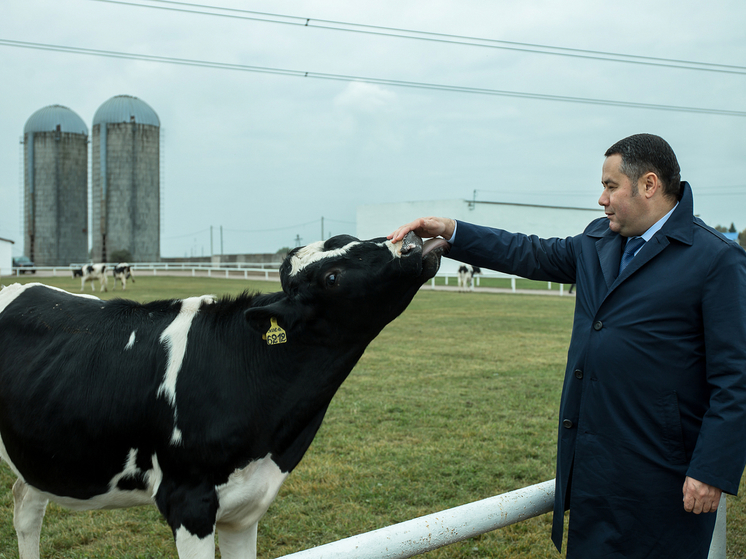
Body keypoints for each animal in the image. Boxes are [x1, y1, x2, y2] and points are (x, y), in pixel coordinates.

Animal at [0, 232, 448, 559]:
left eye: (349, 239)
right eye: (332, 278)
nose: (409, 243)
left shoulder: (246, 508)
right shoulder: (188, 502)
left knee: (26, 505)